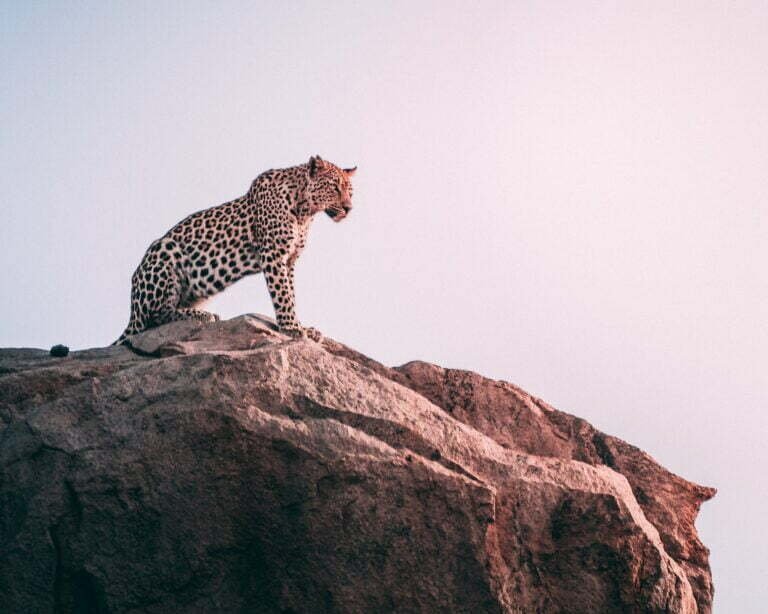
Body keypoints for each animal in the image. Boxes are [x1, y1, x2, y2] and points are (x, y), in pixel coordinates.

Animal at [114, 154, 356, 346]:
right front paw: (292, 328)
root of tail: (132, 310)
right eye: (334, 187)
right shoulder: (273, 255)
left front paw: (301, 326)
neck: (305, 212)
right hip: (165, 250)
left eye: (350, 192)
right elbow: (283, 295)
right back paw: (202, 315)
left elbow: (291, 294)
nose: (349, 208)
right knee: (155, 317)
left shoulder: (289, 260)